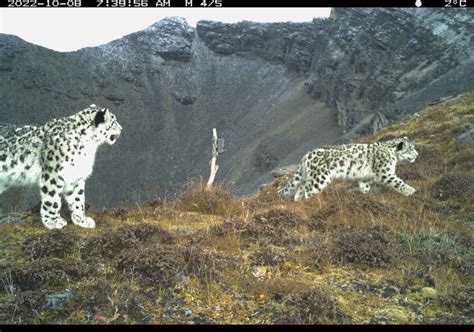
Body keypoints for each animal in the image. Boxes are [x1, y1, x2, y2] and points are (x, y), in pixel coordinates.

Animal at [280, 137, 416, 201]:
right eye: (410, 149)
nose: (417, 154)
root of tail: (305, 156)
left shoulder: (366, 177)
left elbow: (365, 187)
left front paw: (364, 196)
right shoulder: (385, 173)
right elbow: (398, 182)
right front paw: (412, 191)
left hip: (310, 177)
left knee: (301, 187)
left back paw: (298, 201)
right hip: (320, 178)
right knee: (309, 190)